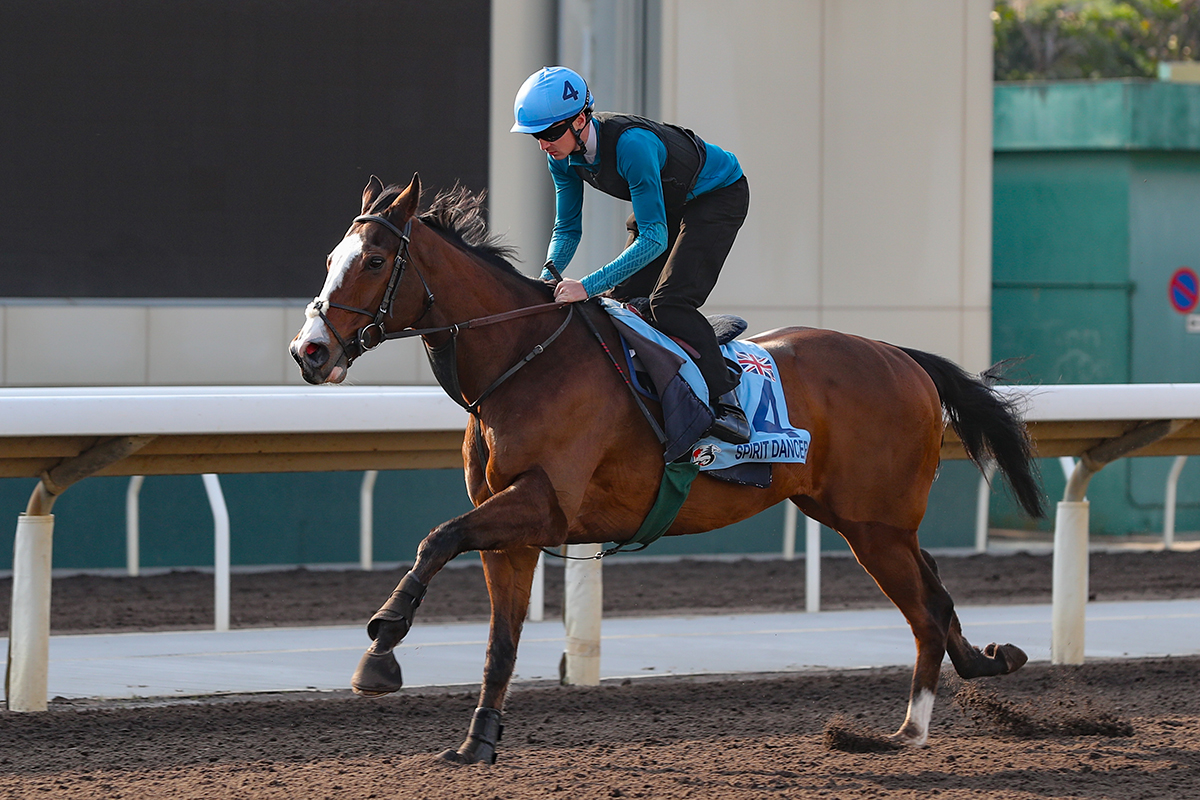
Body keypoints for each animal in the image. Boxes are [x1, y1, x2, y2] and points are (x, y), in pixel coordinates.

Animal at [288, 173, 1041, 762]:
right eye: (329, 257)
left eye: (375, 260)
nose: (309, 350)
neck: (521, 360)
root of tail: (904, 356)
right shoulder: (513, 531)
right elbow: (499, 639)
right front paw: (477, 741)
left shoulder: (544, 506)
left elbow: (435, 537)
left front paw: (381, 646)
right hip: (868, 519)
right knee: (937, 596)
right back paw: (980, 666)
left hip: (873, 525)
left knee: (926, 612)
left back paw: (907, 732)